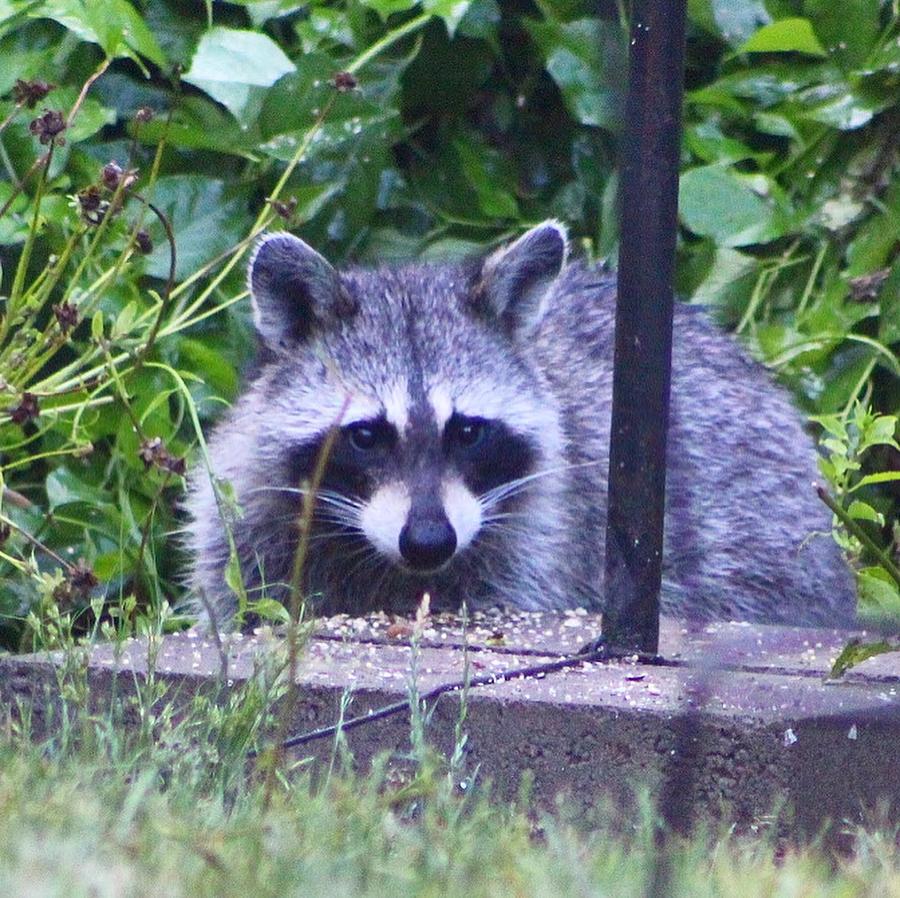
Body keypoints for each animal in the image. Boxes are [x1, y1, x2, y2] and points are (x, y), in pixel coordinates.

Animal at [185, 222, 856, 632]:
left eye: (467, 431)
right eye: (367, 435)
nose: (428, 542)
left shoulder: (543, 544)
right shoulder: (246, 520)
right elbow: (242, 593)